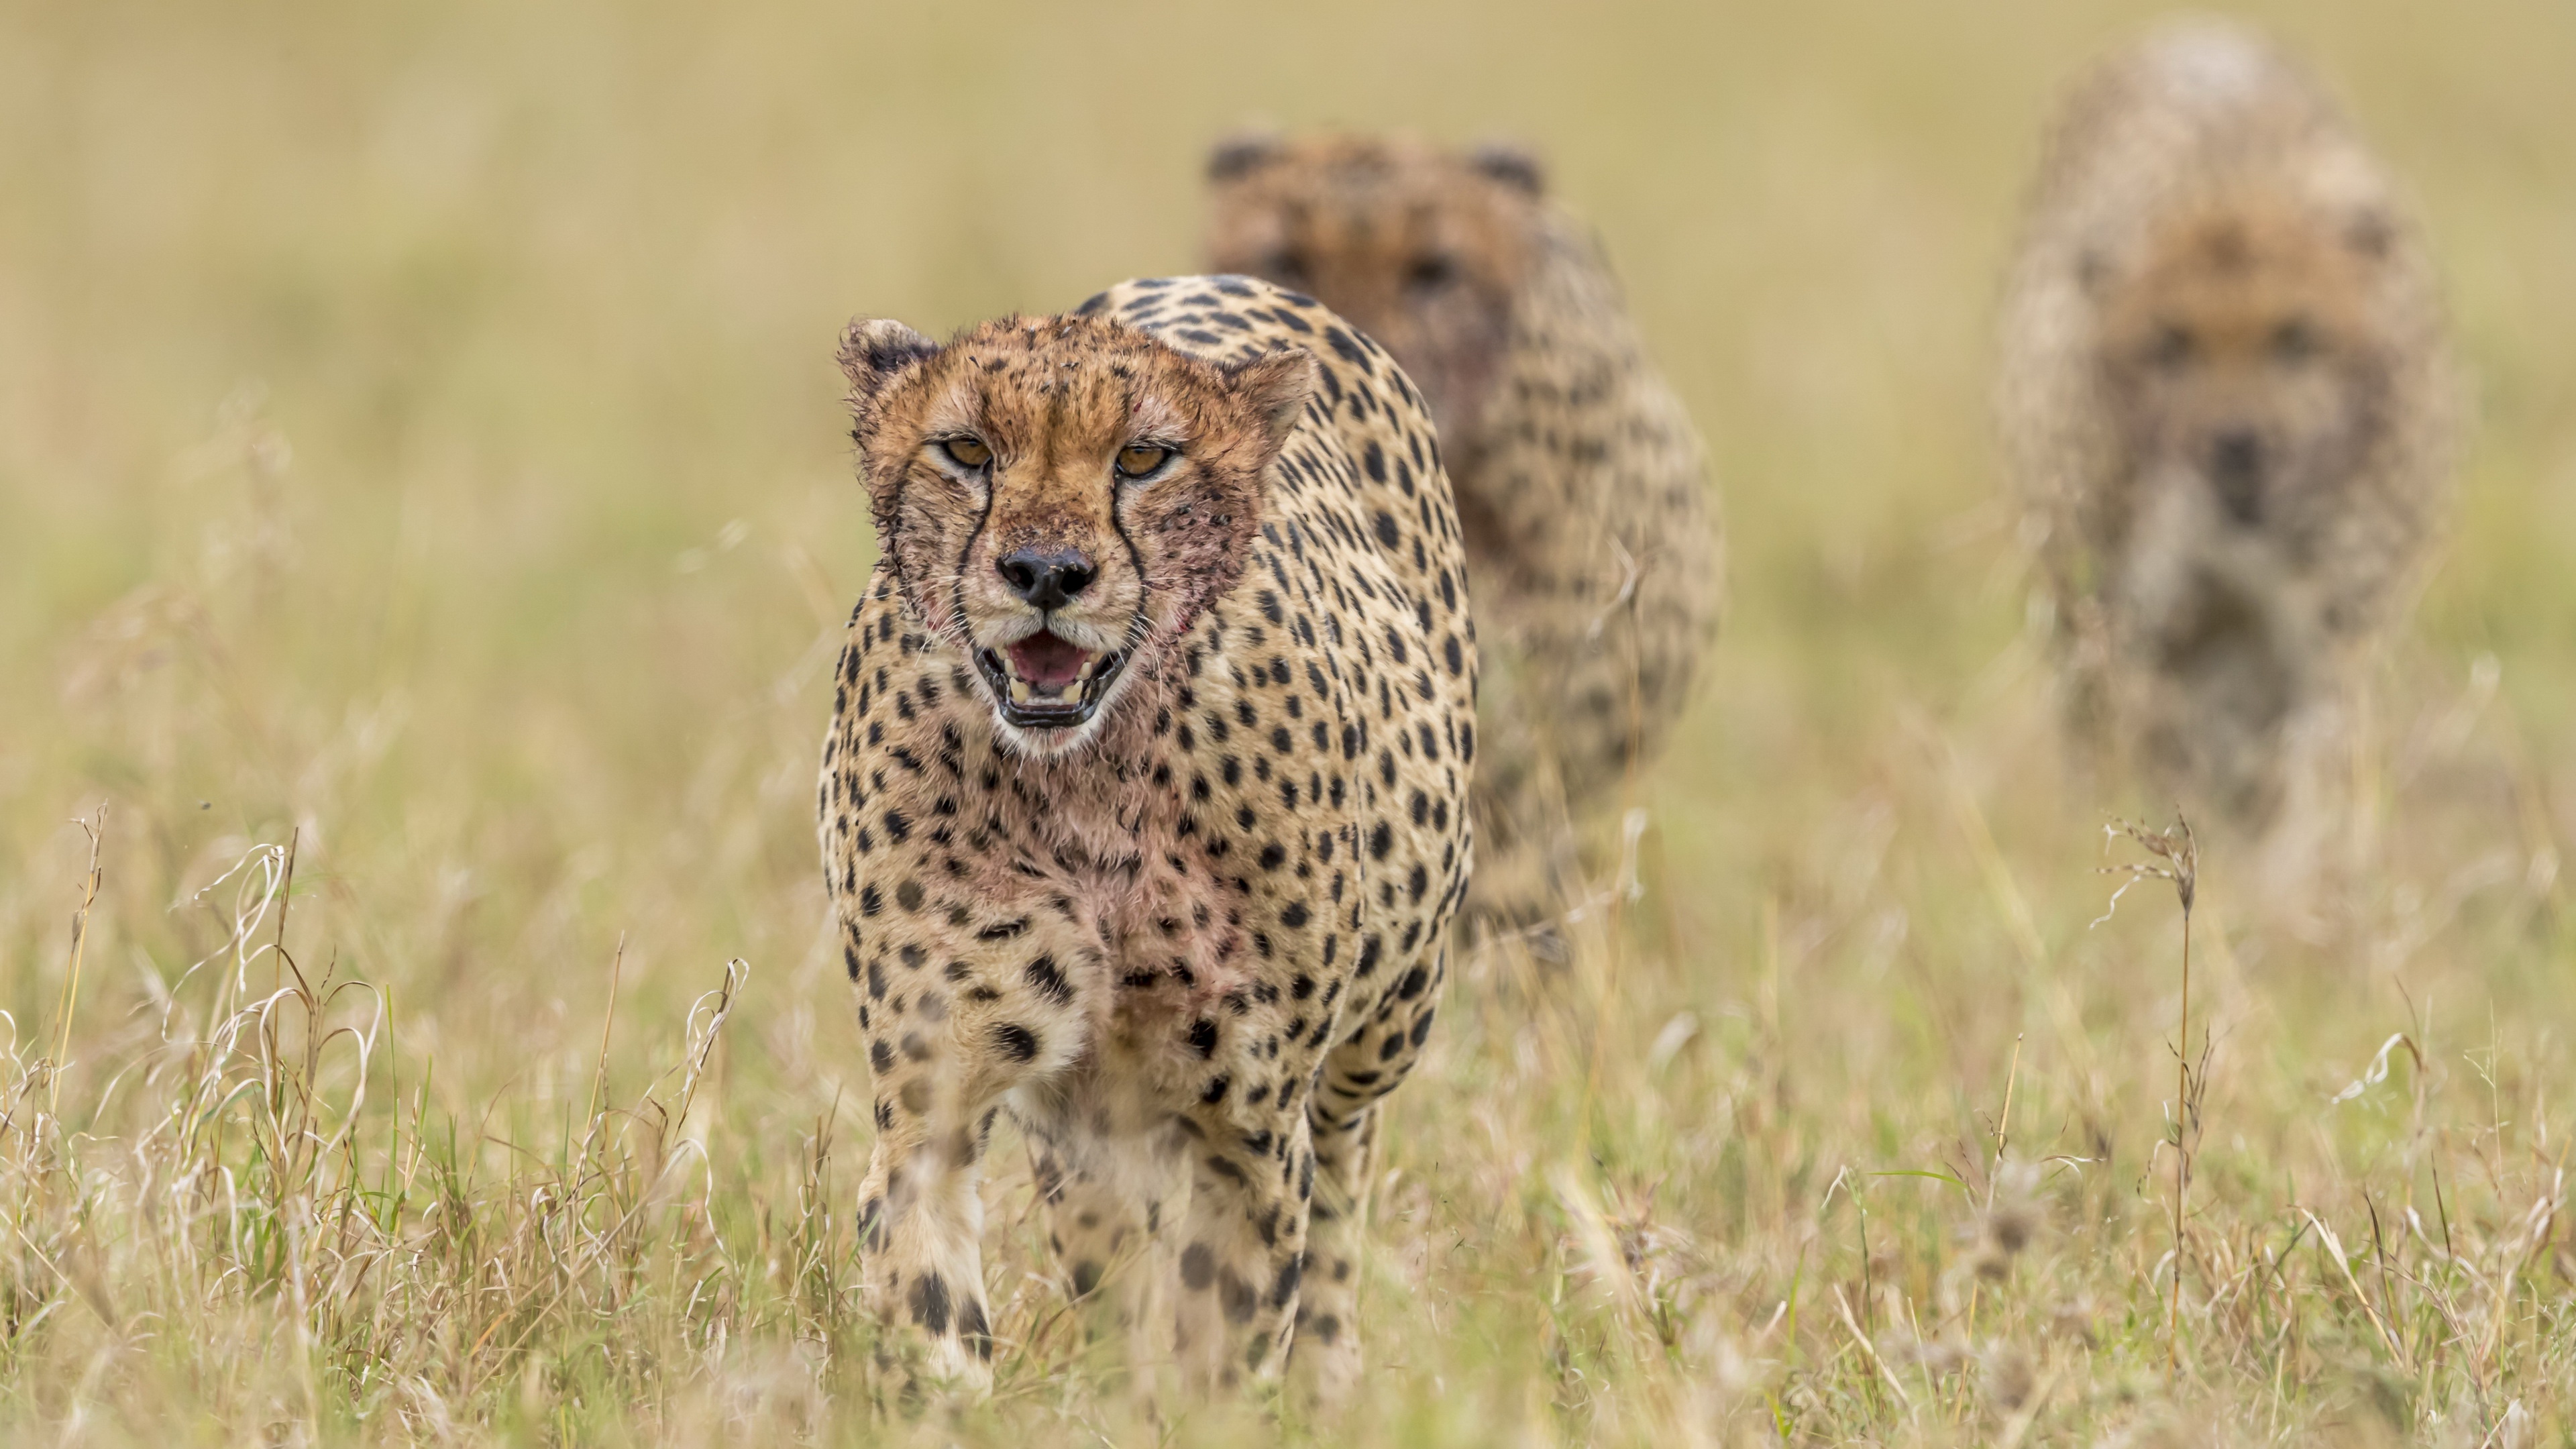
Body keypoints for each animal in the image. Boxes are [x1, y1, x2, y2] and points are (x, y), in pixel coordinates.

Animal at [814, 273, 1483, 1402]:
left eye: (1142, 459)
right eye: (966, 450)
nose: (1046, 572)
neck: (1085, 781)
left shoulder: (1248, 1133)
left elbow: (1233, 1341)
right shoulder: (931, 1103)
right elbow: (934, 1313)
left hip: (1387, 1024)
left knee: (1344, 1178)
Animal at [1988, 22, 2452, 897]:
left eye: (2298, 338)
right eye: (2169, 345)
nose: (2236, 447)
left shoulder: (2332, 627)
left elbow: (2307, 771)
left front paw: (2292, 891)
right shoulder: (2148, 620)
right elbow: (2174, 767)